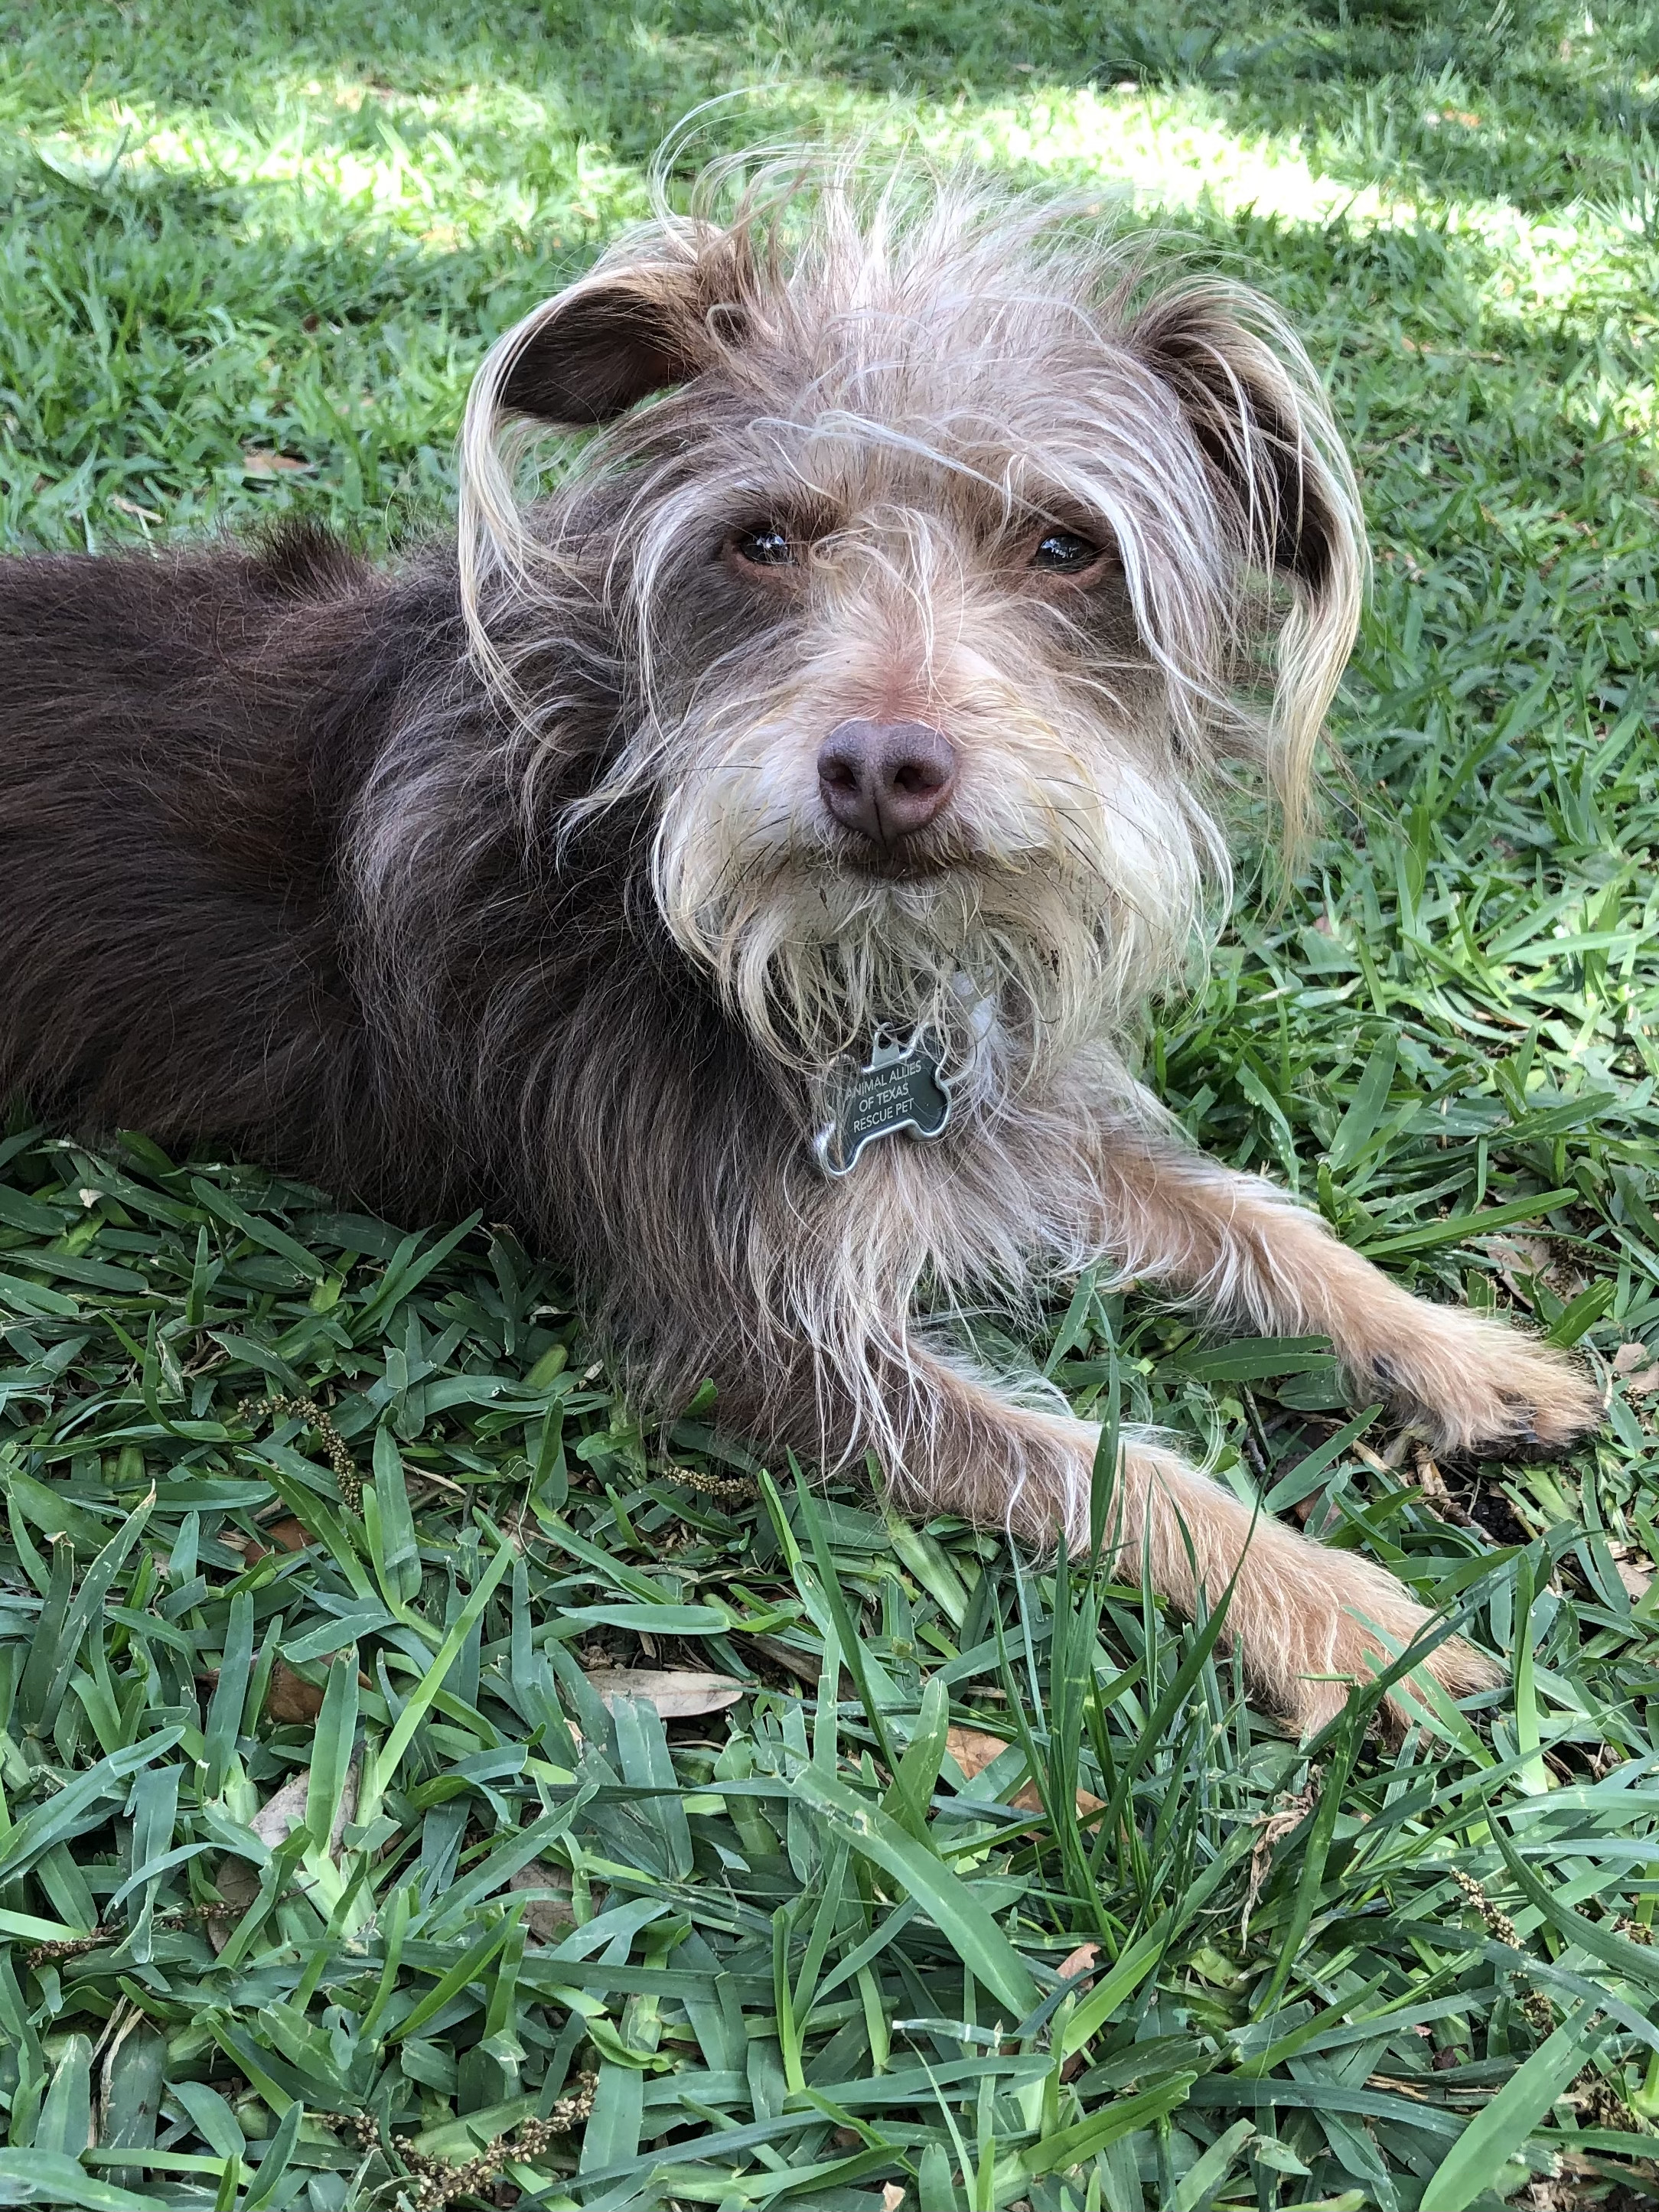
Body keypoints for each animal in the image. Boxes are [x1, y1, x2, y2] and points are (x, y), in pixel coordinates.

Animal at [0, 163, 1610, 1734]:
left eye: (1066, 546)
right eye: (762, 539)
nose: (884, 768)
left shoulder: (1000, 1109)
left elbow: (1255, 1217)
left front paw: (1458, 1353)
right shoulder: (762, 1337)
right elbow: (1104, 1466)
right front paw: (1341, 1609)